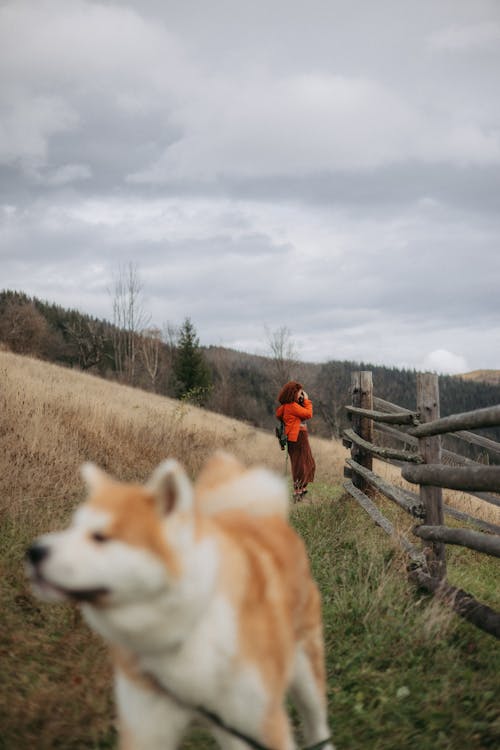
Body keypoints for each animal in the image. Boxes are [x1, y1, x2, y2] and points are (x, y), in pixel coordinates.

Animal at [26, 452, 332, 750]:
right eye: (71, 529)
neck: (181, 630)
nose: (34, 551)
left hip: (305, 675)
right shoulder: (148, 726)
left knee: (318, 726)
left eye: (100, 537)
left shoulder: (260, 723)